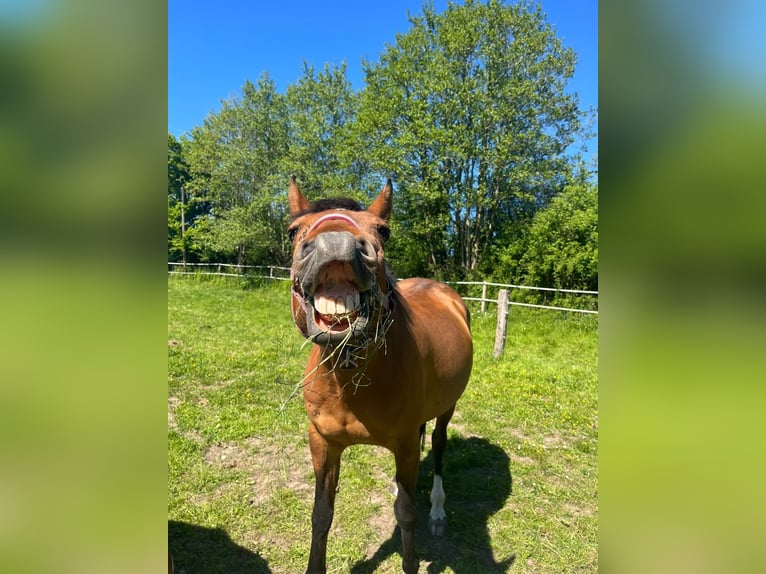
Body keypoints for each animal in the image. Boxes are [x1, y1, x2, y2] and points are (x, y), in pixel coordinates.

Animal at [287, 177, 473, 574]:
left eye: (382, 231)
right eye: (293, 230)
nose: (335, 244)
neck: (349, 384)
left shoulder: (404, 444)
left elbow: (406, 515)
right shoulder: (322, 442)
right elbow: (321, 514)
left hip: (447, 408)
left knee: (437, 446)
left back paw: (437, 511)